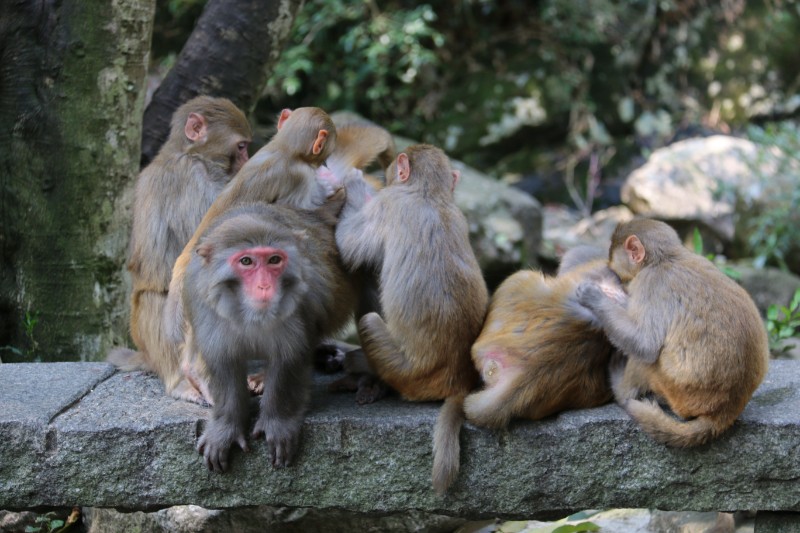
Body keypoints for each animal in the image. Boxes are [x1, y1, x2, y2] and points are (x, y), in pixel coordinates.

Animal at [186, 191, 354, 470]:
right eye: (246, 261)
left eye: (274, 260)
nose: (264, 286)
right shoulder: (208, 312)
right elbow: (223, 363)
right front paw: (225, 427)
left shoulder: (300, 307)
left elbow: (288, 359)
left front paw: (277, 422)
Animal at [332, 143, 488, 492]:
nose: (386, 175)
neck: (429, 192)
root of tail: (457, 380)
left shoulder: (388, 204)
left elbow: (346, 243)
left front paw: (354, 180)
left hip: (405, 373)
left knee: (369, 321)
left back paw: (362, 370)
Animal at [580, 218, 772, 446]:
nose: (615, 274)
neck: (665, 258)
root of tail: (724, 412)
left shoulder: (649, 283)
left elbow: (645, 344)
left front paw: (595, 297)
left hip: (675, 389)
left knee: (646, 359)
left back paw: (622, 390)